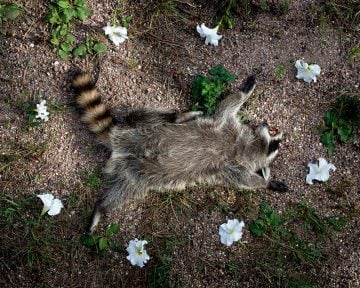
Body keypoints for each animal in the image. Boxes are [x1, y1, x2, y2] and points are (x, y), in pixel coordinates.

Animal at [72, 72, 286, 234]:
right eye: (276, 144)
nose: (280, 135)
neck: (243, 146)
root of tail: (122, 143)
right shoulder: (226, 128)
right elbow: (226, 107)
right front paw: (245, 91)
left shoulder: (230, 167)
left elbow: (244, 180)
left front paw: (266, 182)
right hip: (144, 132)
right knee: (152, 117)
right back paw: (179, 116)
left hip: (135, 174)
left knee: (122, 191)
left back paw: (101, 206)